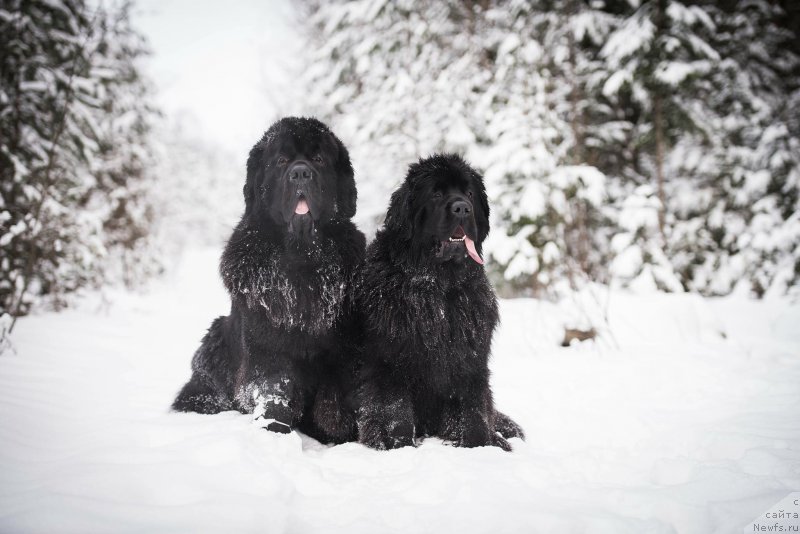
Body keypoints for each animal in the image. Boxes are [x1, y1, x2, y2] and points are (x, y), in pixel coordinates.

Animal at [175, 116, 366, 444]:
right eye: (281, 161)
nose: (301, 173)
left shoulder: (342, 350)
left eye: (319, 159)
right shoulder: (266, 347)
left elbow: (333, 400)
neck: (301, 257)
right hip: (216, 336)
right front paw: (274, 431)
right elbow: (274, 389)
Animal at [356, 154, 524, 452]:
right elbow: (394, 410)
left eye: (469, 193)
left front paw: (480, 445)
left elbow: (473, 410)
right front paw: (396, 444)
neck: (439, 287)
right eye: (435, 193)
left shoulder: (469, 359)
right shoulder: (390, 361)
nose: (462, 208)